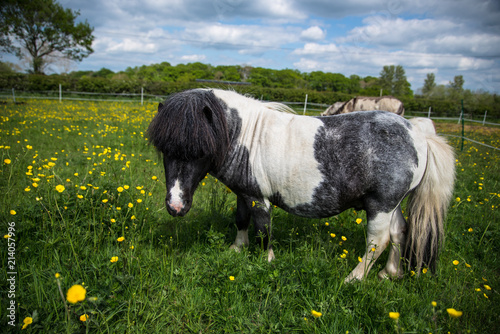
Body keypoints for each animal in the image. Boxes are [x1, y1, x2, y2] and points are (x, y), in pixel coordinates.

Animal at [146, 89, 456, 282]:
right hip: (393, 204)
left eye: (199, 150)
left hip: (380, 205)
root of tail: (420, 135)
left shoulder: (259, 197)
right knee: (399, 232)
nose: (175, 206)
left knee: (377, 241)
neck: (245, 135)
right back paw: (390, 273)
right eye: (164, 149)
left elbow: (263, 230)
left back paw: (353, 279)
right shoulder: (244, 193)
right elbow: (242, 220)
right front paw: (235, 249)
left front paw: (266, 261)